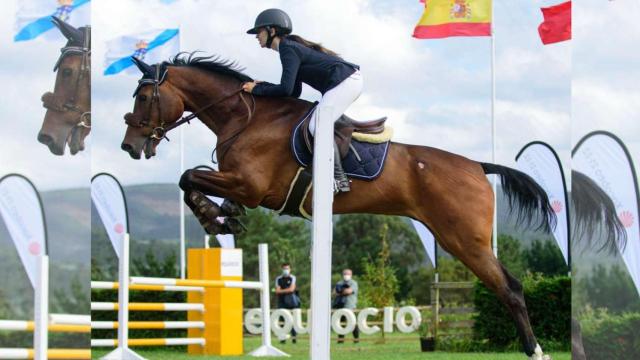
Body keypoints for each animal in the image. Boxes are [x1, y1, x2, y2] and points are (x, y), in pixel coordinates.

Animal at [122, 53, 556, 360]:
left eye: (143, 97)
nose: (129, 146)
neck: (244, 118)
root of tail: (477, 166)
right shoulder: (240, 185)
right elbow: (194, 180)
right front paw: (223, 216)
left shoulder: (250, 186)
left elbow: (188, 177)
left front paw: (214, 218)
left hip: (463, 239)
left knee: (510, 288)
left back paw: (535, 350)